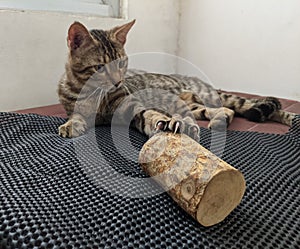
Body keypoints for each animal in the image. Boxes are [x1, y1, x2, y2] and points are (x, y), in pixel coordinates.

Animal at [57, 20, 296, 140]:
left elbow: (147, 114)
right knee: (225, 110)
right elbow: (77, 116)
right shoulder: (76, 108)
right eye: (99, 68)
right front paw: (70, 125)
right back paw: (217, 120)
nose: (117, 83)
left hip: (204, 97)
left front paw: (159, 123)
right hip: (193, 105)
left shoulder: (130, 105)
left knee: (241, 106)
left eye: (122, 64)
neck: (92, 93)